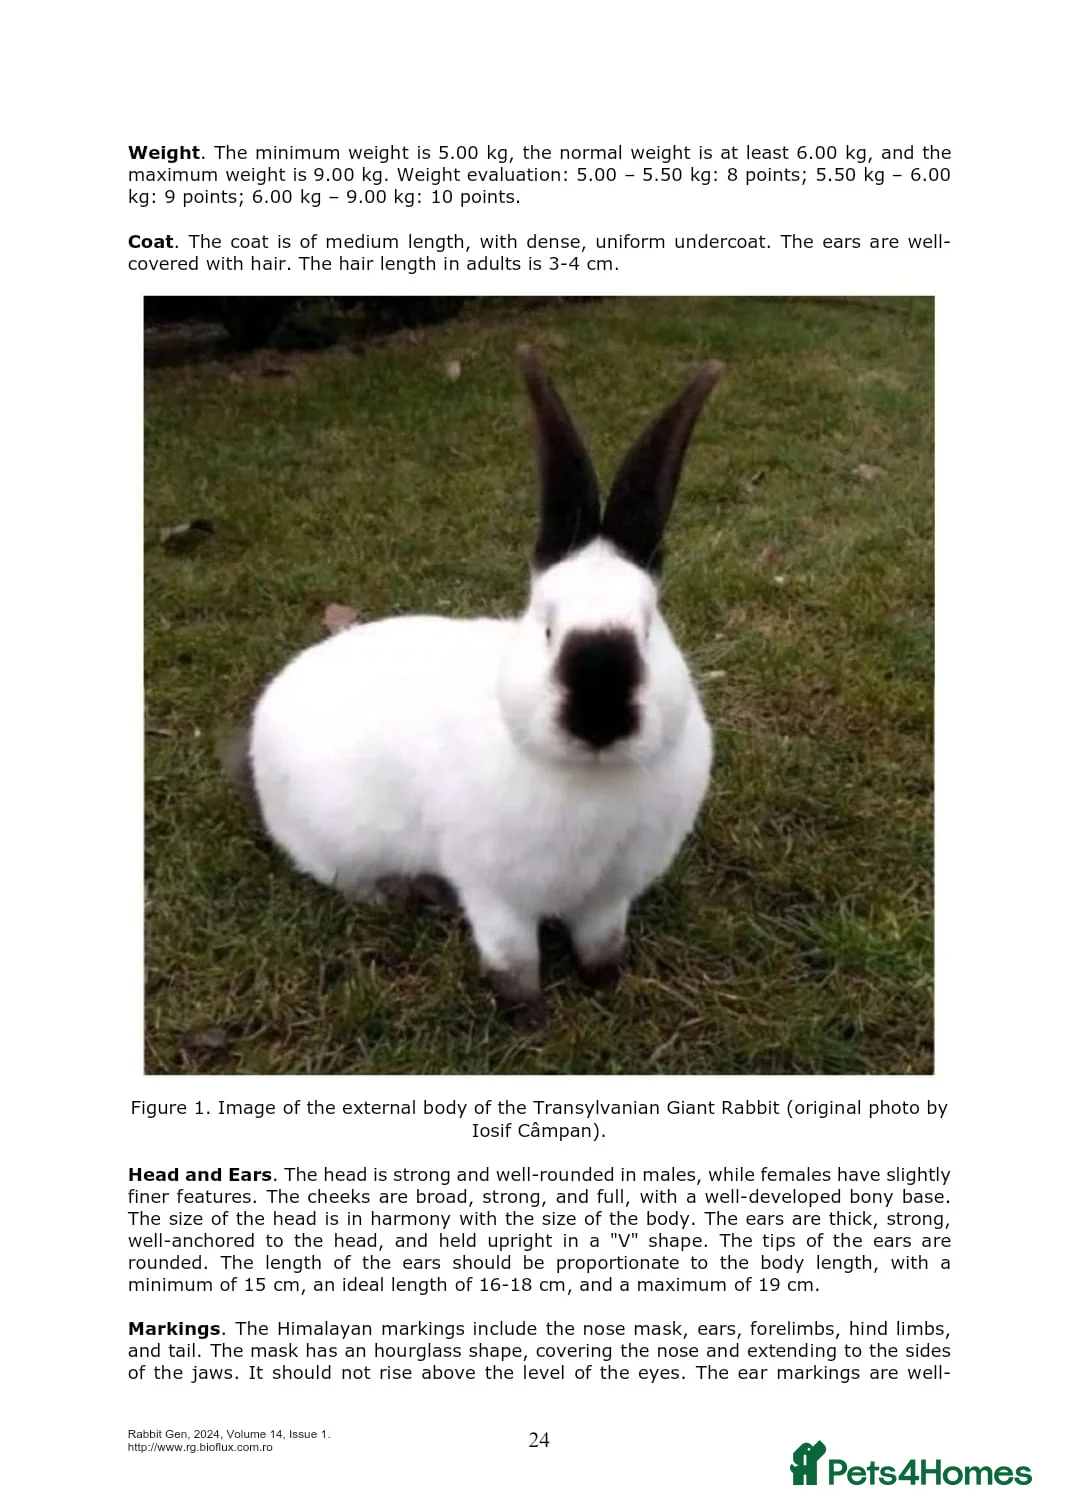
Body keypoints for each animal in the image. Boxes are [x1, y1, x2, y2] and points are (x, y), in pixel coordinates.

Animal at [236, 346, 722, 1028]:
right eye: (546, 628)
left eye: (649, 628)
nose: (599, 718)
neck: (591, 780)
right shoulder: (494, 893)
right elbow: (512, 961)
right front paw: (531, 1021)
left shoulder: (609, 895)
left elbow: (601, 944)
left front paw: (607, 985)